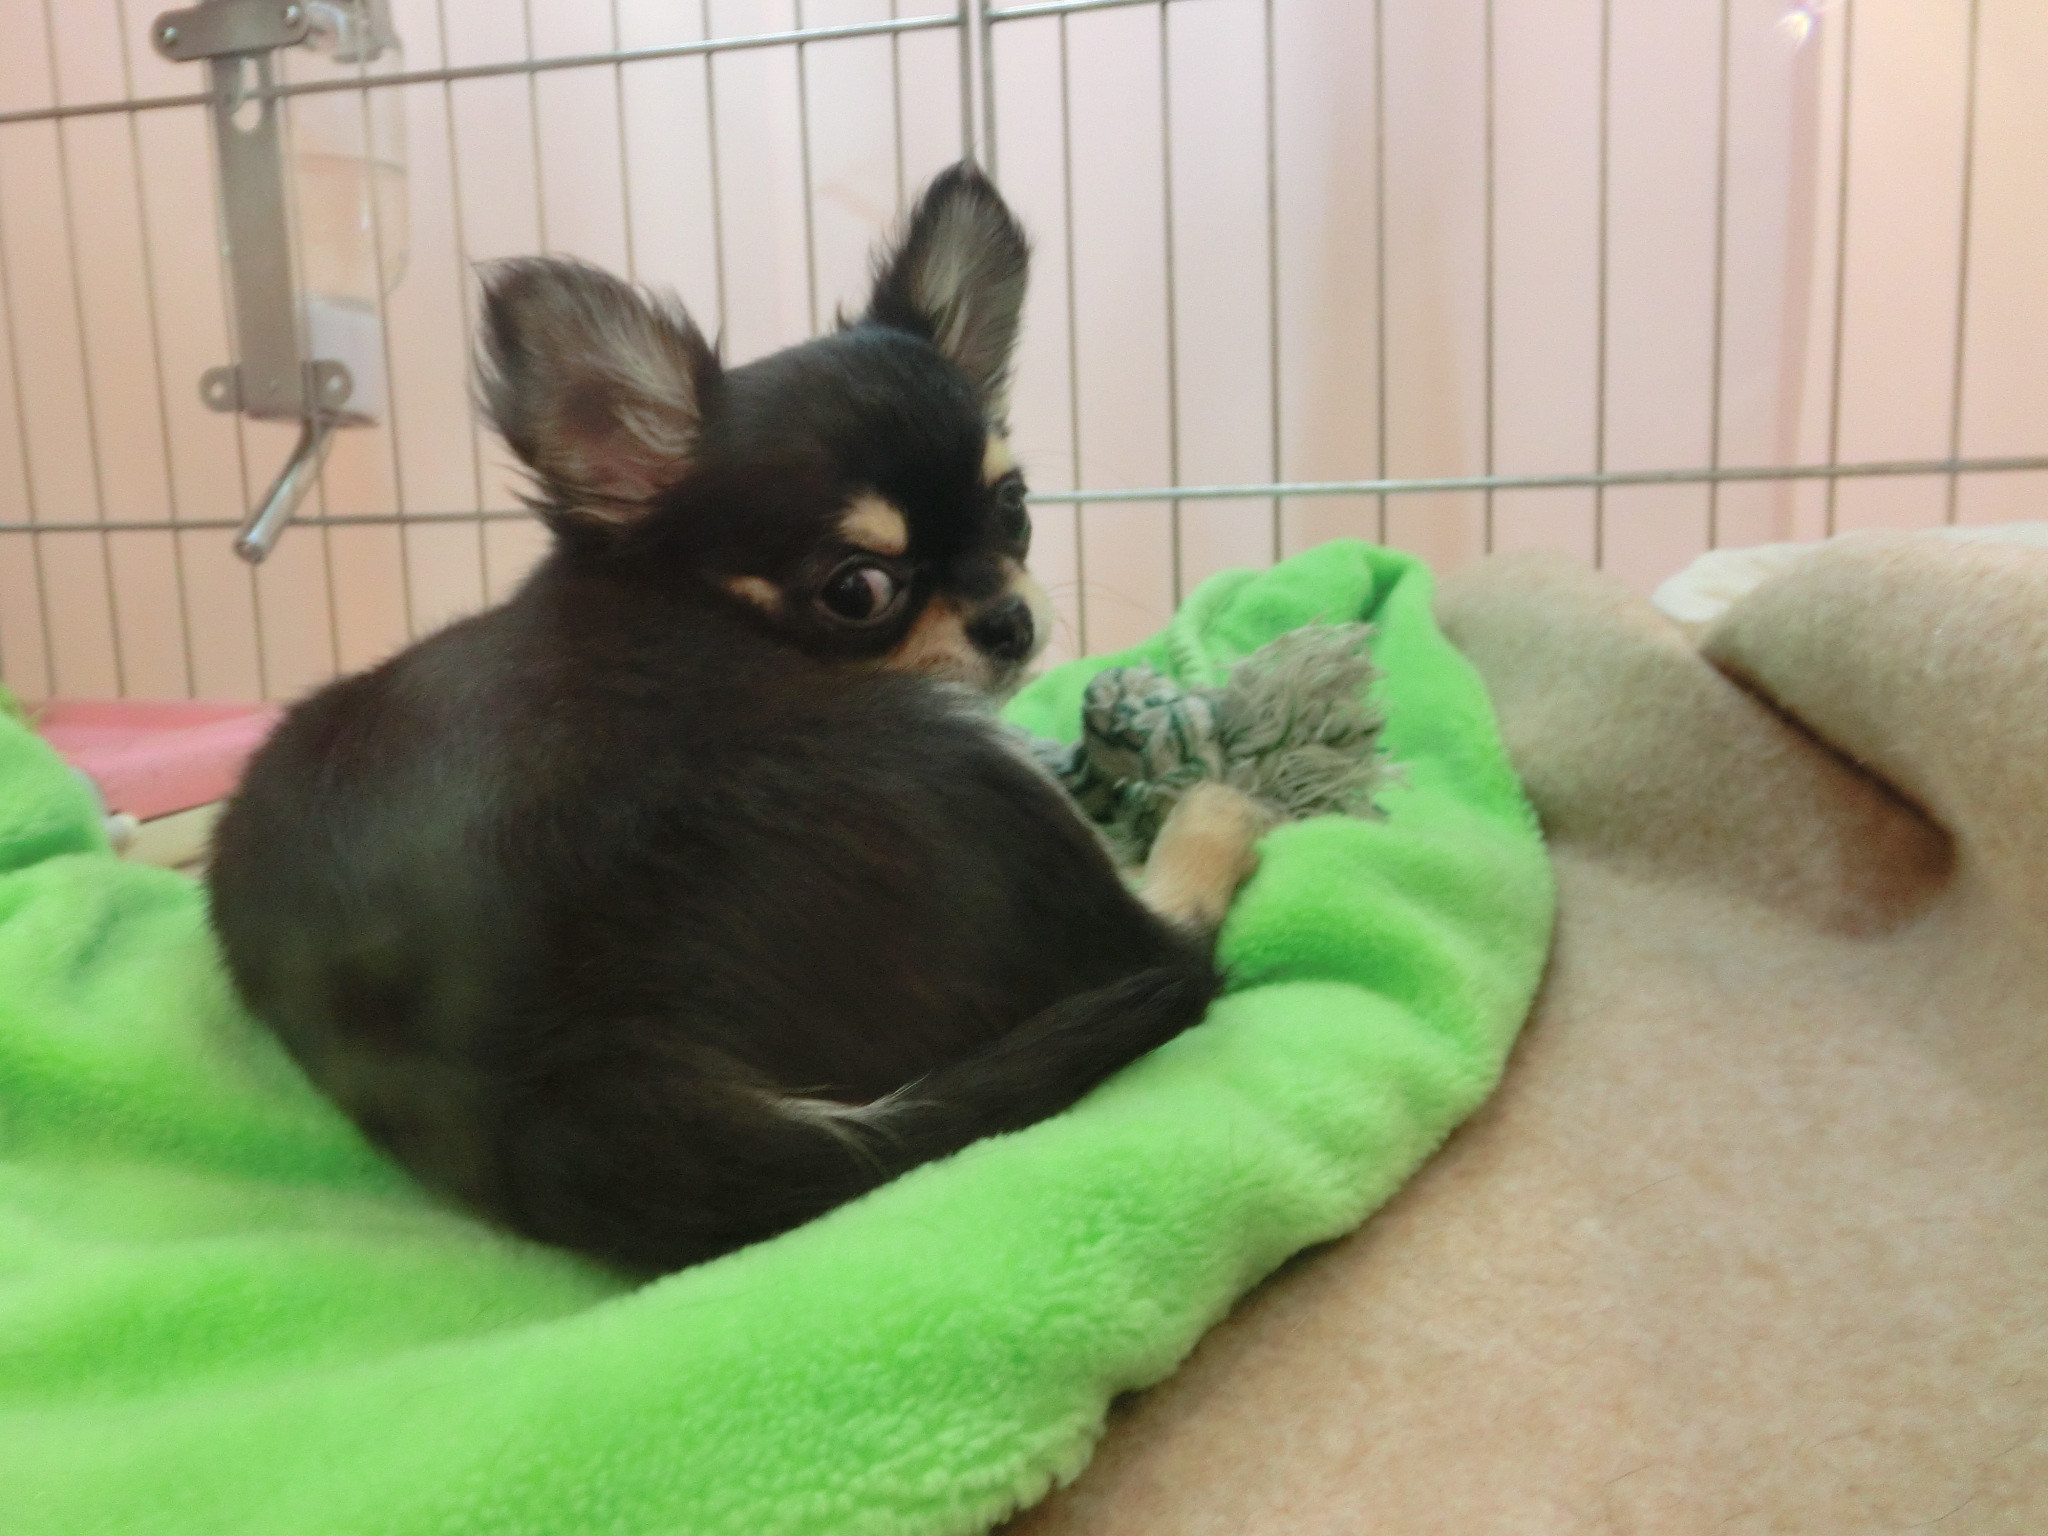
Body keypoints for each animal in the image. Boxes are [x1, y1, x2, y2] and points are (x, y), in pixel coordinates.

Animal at [206, 163, 1268, 1274]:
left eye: (1013, 506)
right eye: (858, 590)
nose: (1011, 621)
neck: (682, 591)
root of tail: (565, 1060)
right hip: (965, 768)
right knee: (1167, 935)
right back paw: (1214, 815)